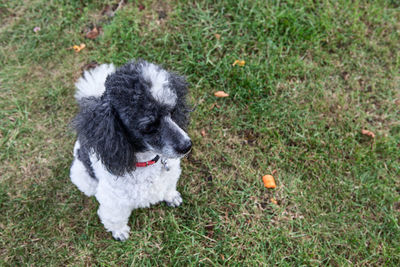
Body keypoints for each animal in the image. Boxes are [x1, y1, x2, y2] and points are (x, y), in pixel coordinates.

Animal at [69, 60, 191, 241]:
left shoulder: (170, 176)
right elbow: (114, 218)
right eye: (148, 127)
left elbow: (169, 187)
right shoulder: (113, 202)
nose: (187, 146)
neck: (146, 162)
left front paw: (171, 197)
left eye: (172, 111)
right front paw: (119, 232)